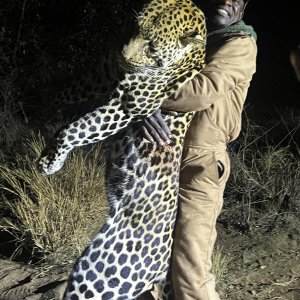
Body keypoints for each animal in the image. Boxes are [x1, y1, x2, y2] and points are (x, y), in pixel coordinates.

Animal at [38, 1, 206, 298]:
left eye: (152, 45)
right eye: (134, 26)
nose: (122, 53)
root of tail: (167, 264)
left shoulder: (128, 104)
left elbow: (76, 128)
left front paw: (51, 160)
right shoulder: (106, 71)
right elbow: (77, 87)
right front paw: (47, 101)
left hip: (97, 275)